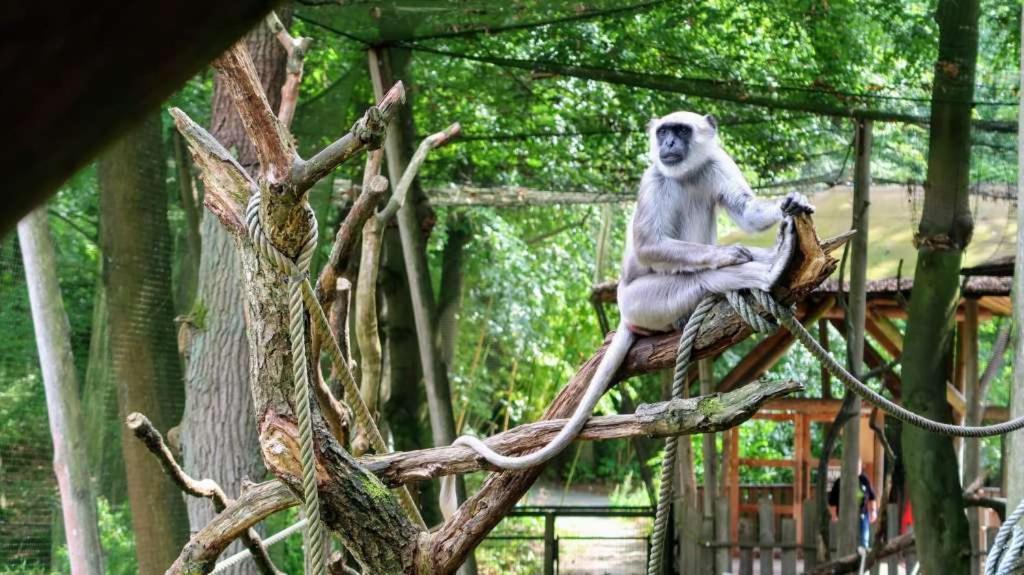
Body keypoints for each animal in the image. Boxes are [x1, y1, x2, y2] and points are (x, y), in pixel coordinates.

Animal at [456, 109, 815, 468]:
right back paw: (770, 269)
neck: (685, 173)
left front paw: (792, 202)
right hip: (642, 302)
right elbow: (647, 245)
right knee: (702, 279)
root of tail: (625, 316)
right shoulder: (653, 179)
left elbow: (747, 212)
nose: (668, 143)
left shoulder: (716, 162)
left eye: (681, 132)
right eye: (664, 133)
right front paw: (726, 254)